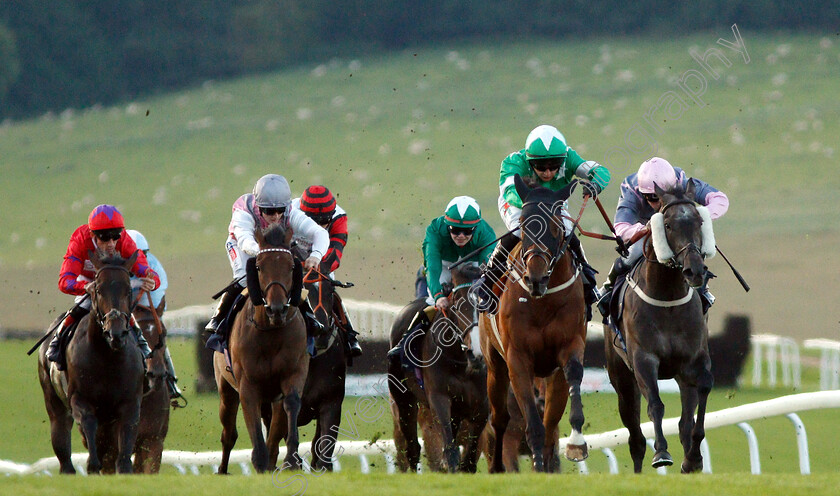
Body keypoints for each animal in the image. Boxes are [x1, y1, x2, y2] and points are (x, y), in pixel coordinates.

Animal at [36, 252, 146, 472]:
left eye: (129, 289)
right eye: (98, 289)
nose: (116, 333)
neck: (108, 359)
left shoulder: (130, 403)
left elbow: (123, 457)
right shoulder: (80, 400)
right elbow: (88, 427)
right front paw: (92, 465)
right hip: (55, 404)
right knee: (63, 449)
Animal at [213, 224, 308, 472]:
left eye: (291, 266)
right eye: (258, 266)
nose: (277, 309)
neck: (270, 333)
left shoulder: (294, 373)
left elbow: (292, 403)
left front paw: (292, 459)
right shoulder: (247, 383)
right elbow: (253, 424)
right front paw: (260, 462)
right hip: (226, 389)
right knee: (228, 434)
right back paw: (222, 470)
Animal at [390, 264, 488, 472]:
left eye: (486, 303)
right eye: (457, 304)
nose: (476, 354)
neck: (461, 363)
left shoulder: (482, 405)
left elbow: (469, 458)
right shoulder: (438, 397)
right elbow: (450, 452)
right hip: (403, 398)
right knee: (412, 447)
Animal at [482, 175, 588, 472]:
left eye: (556, 225)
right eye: (523, 224)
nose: (535, 278)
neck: (542, 302)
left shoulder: (570, 345)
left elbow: (573, 374)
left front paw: (576, 444)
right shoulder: (517, 358)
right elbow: (532, 424)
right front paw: (536, 465)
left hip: (550, 375)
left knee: (551, 422)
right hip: (495, 366)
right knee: (499, 418)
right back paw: (497, 467)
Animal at [604, 181, 716, 472]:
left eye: (700, 220)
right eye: (667, 224)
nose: (694, 271)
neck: (668, 300)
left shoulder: (694, 359)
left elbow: (703, 391)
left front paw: (694, 458)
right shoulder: (644, 359)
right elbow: (655, 404)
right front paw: (662, 452)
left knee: (684, 422)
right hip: (621, 378)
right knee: (635, 437)